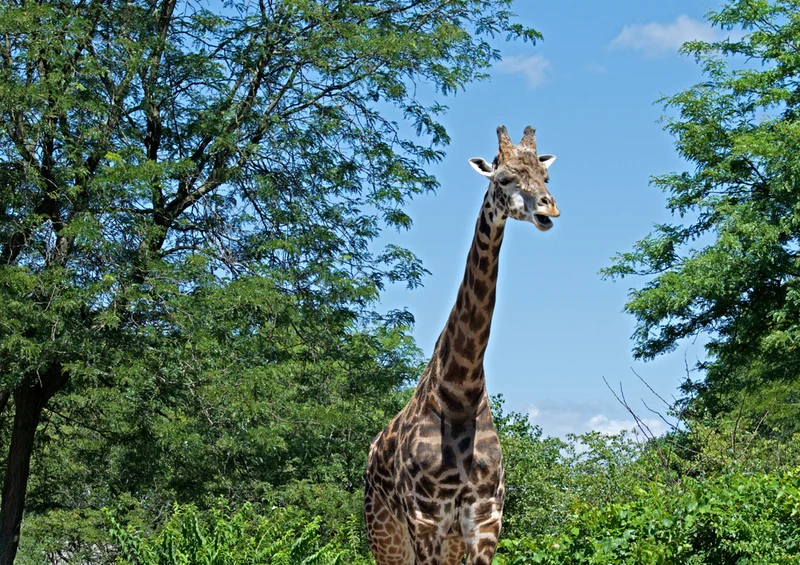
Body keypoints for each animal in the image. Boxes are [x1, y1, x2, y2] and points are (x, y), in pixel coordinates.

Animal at [364, 125, 560, 565]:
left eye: (546, 177)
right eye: (503, 178)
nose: (550, 208)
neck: (459, 392)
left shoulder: (485, 518)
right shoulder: (426, 519)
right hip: (386, 535)